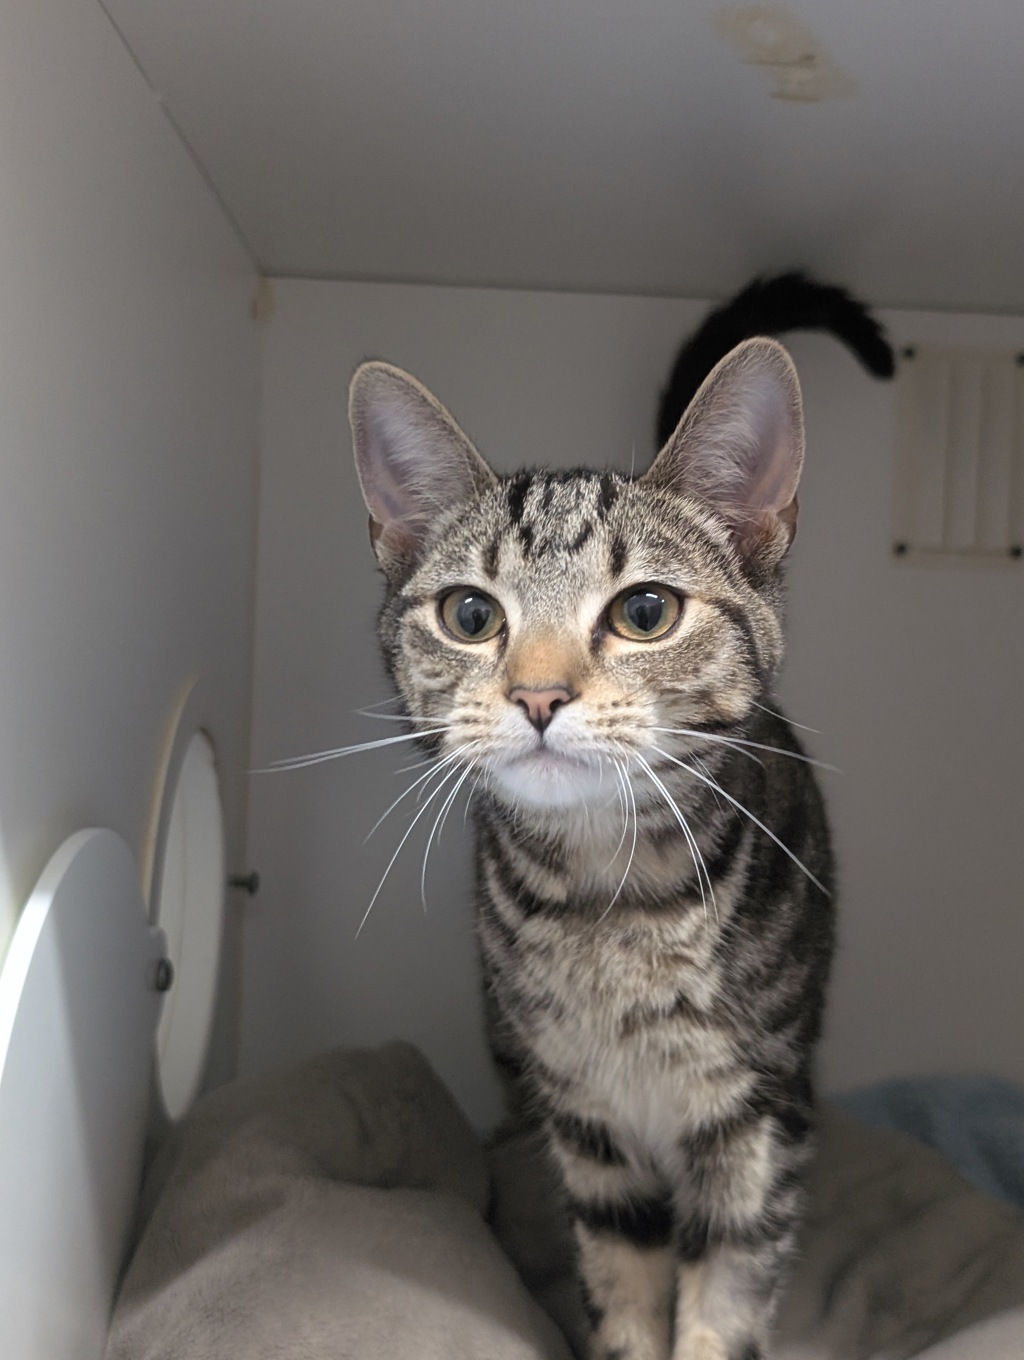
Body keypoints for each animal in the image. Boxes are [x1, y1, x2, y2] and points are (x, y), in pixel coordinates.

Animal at [346, 278, 890, 1360]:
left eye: (644, 611)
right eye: (470, 615)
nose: (539, 694)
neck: (613, 901)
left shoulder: (756, 1121)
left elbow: (724, 1301)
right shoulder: (587, 1124)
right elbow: (621, 1280)